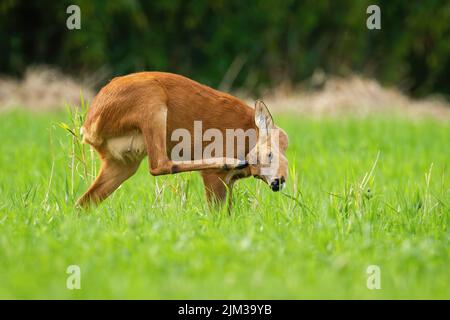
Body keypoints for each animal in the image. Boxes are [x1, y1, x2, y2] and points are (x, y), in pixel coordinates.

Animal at [76, 72, 290, 208]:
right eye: (270, 154)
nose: (278, 182)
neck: (247, 136)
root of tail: (88, 125)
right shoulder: (215, 177)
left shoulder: (229, 182)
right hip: (151, 101)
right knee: (159, 164)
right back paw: (229, 161)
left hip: (122, 161)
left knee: (83, 203)